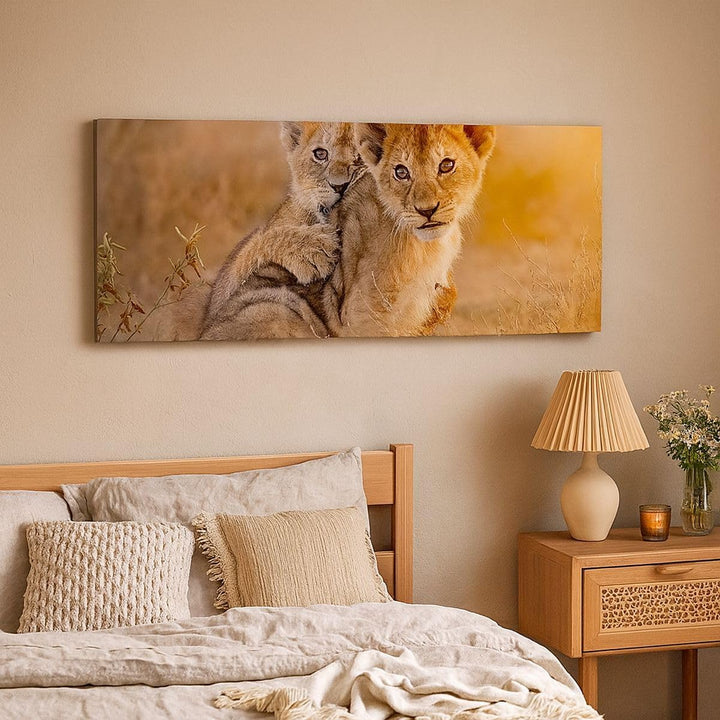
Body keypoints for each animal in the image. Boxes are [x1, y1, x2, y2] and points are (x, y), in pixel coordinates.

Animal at [201, 122, 366, 335]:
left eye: (361, 156)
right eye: (321, 154)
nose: (340, 186)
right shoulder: (227, 287)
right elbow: (260, 242)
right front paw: (312, 251)